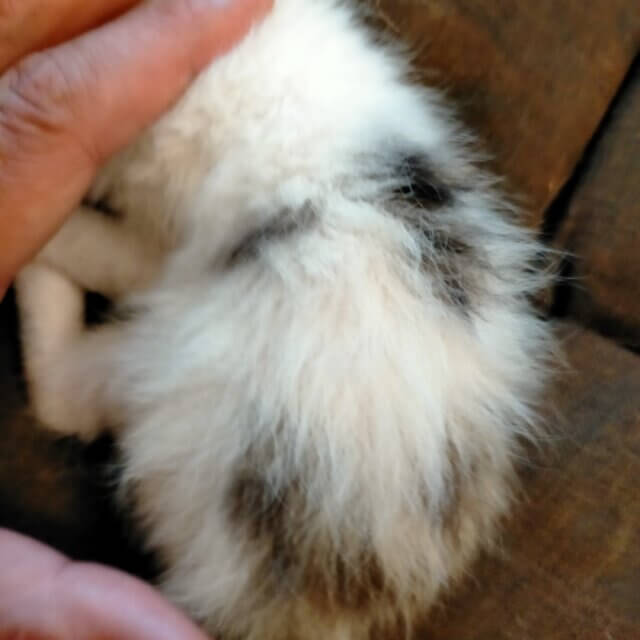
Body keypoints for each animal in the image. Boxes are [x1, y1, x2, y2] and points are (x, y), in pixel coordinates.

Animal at [15, 1, 556, 638]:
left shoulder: (161, 241)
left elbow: (105, 249)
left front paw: (59, 225)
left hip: (174, 372)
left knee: (61, 395)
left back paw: (34, 270)